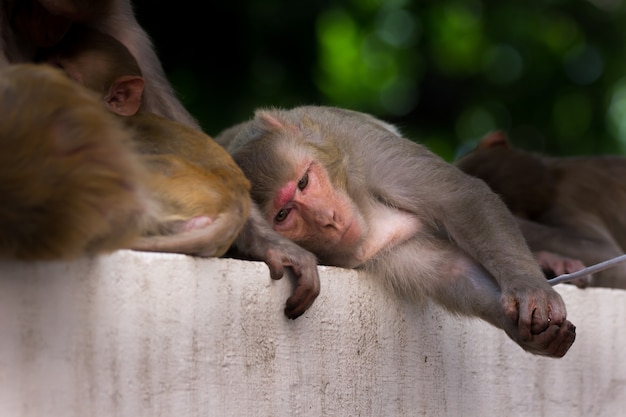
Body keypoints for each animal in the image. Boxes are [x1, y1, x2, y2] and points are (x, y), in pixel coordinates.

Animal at [214, 105, 576, 356]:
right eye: (283, 214)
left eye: (303, 181)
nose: (329, 218)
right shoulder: (377, 250)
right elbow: (450, 271)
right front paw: (525, 331)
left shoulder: (356, 141)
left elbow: (461, 199)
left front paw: (532, 289)